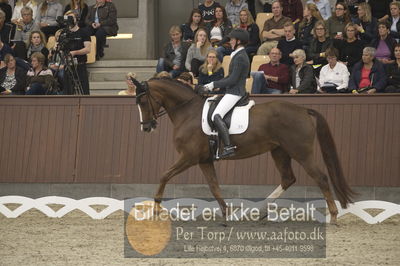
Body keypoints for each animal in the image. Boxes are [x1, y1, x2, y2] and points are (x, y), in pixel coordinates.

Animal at [133, 78, 354, 223]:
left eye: (142, 101)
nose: (146, 127)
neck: (188, 113)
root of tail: (303, 110)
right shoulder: (204, 160)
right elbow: (214, 187)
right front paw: (227, 214)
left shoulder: (189, 157)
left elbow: (164, 175)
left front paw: (156, 208)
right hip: (279, 151)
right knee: (288, 178)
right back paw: (259, 211)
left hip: (300, 152)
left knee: (321, 178)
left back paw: (333, 216)